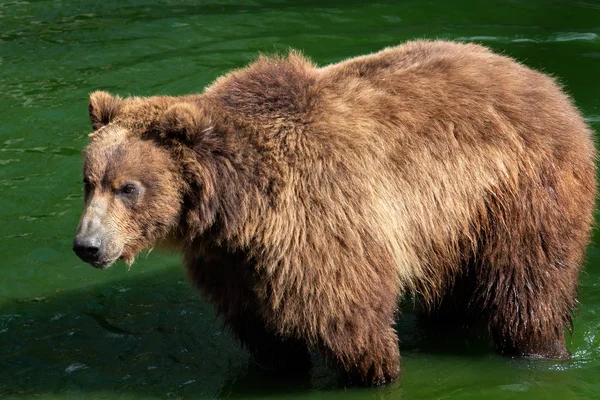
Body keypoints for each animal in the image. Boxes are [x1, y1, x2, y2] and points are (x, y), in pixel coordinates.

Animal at [74, 39, 596, 384]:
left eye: (128, 188)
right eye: (88, 181)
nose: (87, 245)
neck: (239, 206)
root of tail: (547, 83)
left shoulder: (323, 221)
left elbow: (350, 321)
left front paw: (375, 371)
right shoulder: (234, 261)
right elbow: (264, 332)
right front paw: (279, 367)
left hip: (520, 194)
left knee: (527, 289)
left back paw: (538, 350)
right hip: (454, 225)